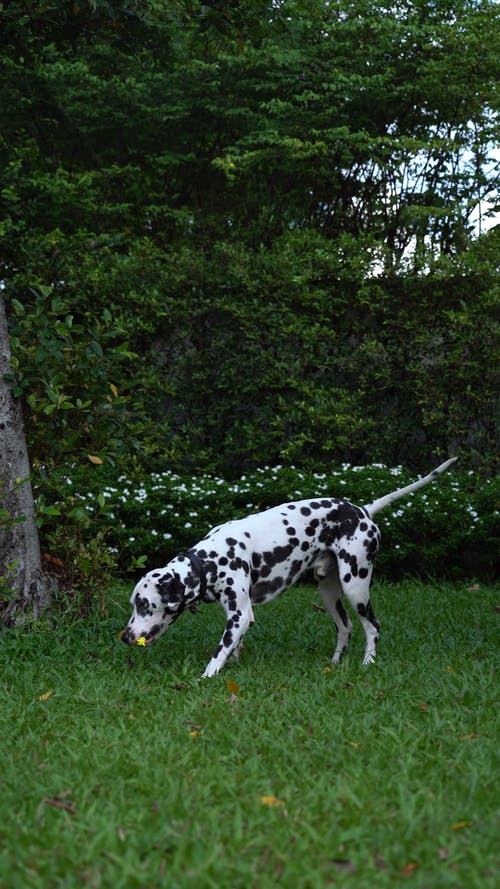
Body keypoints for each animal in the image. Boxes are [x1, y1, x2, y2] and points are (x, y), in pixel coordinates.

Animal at [121, 462, 458, 676]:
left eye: (144, 604)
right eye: (134, 604)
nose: (124, 637)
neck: (210, 560)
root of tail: (363, 511)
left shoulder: (239, 615)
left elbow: (218, 654)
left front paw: (206, 677)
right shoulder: (240, 616)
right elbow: (234, 647)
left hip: (356, 587)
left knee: (372, 626)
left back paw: (368, 664)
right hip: (329, 593)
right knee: (345, 627)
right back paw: (335, 664)